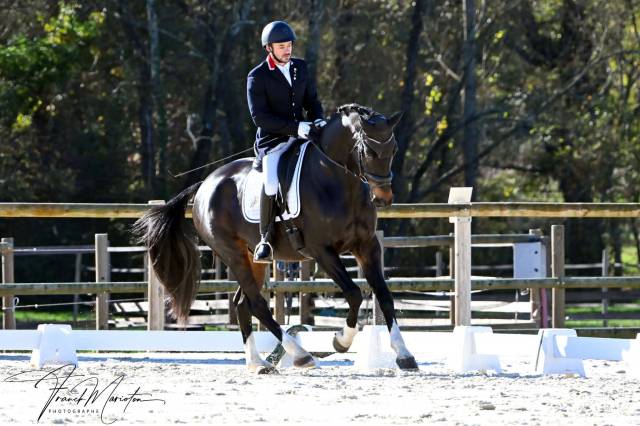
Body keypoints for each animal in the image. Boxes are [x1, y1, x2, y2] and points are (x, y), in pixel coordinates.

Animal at [133, 103, 418, 373]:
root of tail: (205, 184)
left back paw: (258, 364)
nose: (383, 198)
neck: (339, 182)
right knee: (257, 304)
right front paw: (341, 341)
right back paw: (300, 355)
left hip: (254, 258)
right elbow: (354, 293)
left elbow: (384, 295)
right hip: (232, 253)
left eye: (393, 149)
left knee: (242, 303)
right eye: (368, 151)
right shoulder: (322, 250)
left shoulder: (367, 245)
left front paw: (404, 354)